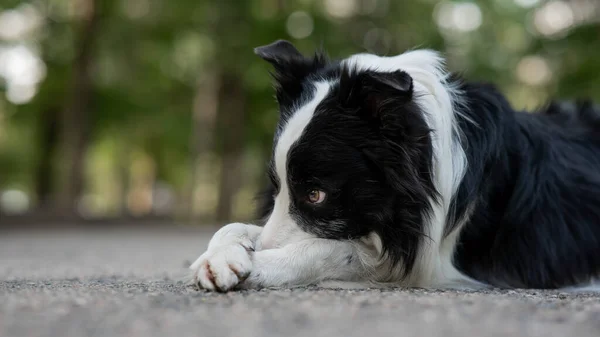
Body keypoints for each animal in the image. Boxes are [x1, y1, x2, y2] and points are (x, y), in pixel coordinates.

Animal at [189, 40, 600, 292]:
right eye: (276, 189)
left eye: (316, 194)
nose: (261, 254)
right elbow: (239, 227)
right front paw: (221, 257)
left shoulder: (432, 261)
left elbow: (333, 248)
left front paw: (261, 264)